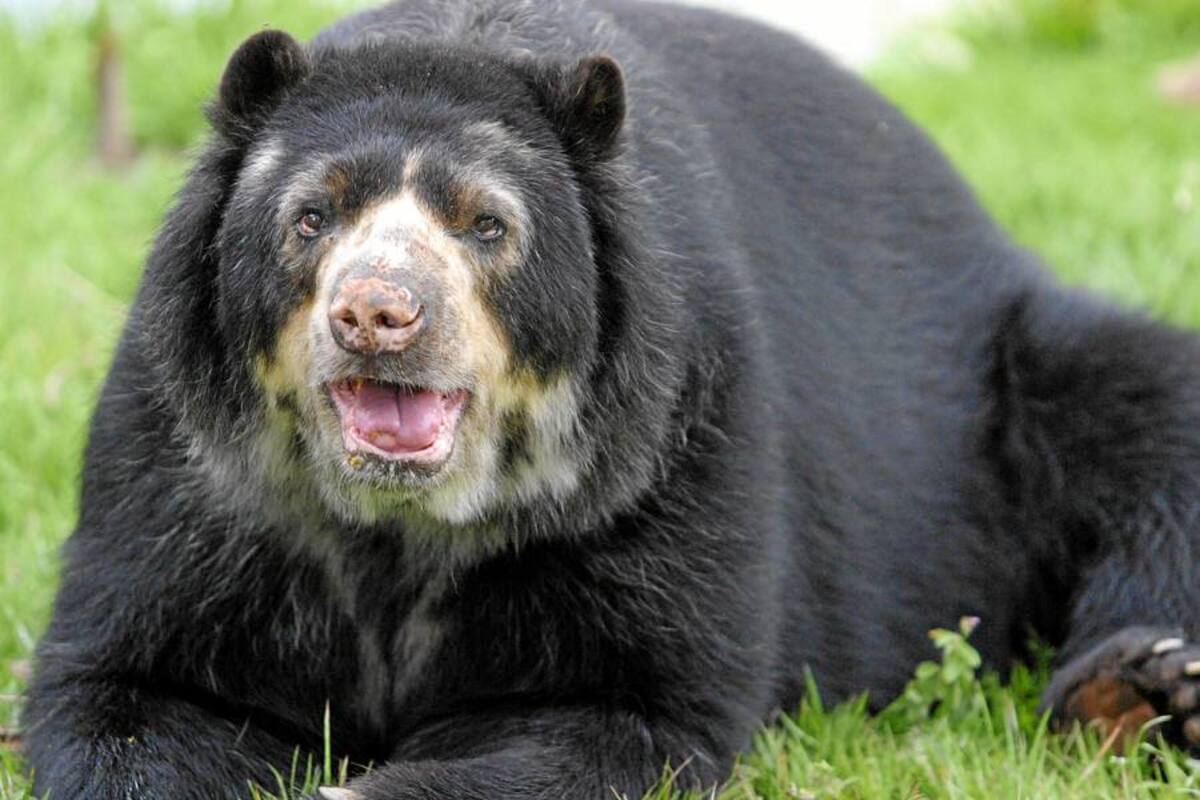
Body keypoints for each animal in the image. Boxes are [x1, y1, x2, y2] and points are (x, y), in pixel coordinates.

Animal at [23, 0, 1200, 797]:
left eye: (487, 225)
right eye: (312, 217)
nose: (379, 312)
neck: (399, 525)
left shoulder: (665, 448)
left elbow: (629, 706)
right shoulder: (189, 469)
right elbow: (123, 687)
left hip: (1015, 379)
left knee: (1152, 424)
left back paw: (1143, 689)